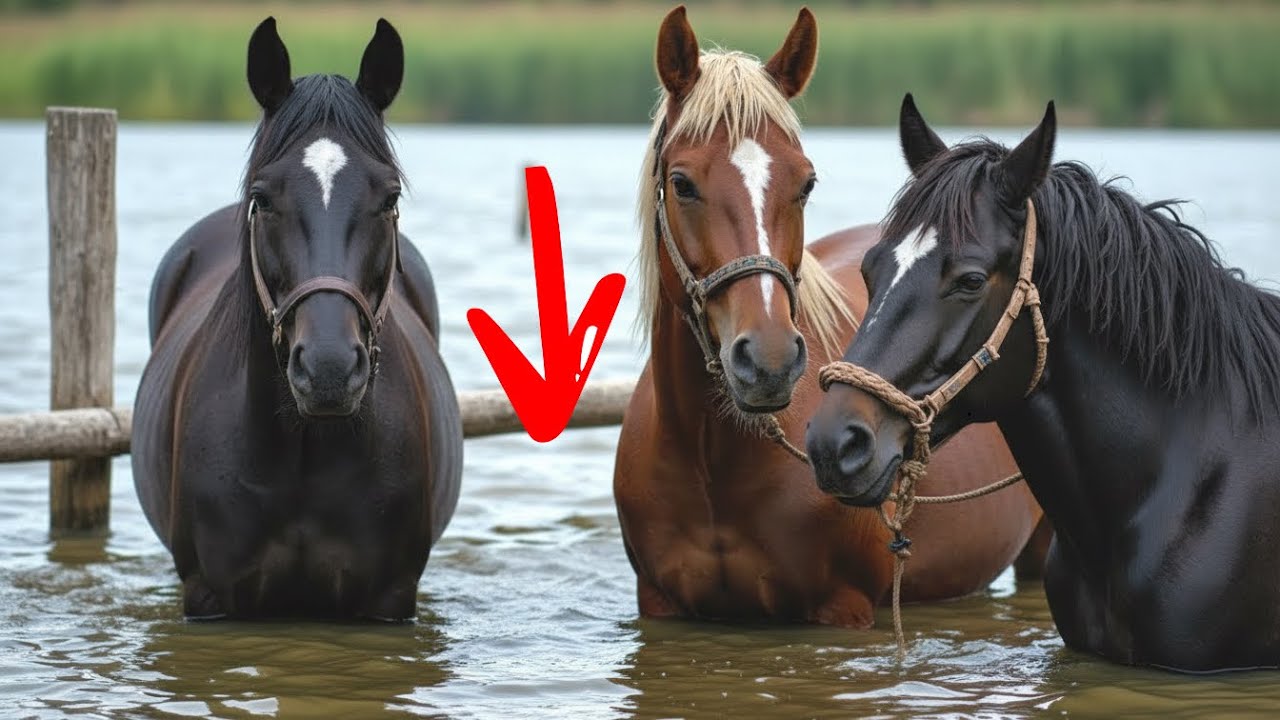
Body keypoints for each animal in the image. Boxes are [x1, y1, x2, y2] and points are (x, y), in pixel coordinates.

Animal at [613, 5, 1048, 629]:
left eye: (806, 182)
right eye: (681, 183)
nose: (769, 360)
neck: (713, 458)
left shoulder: (845, 610)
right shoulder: (659, 607)